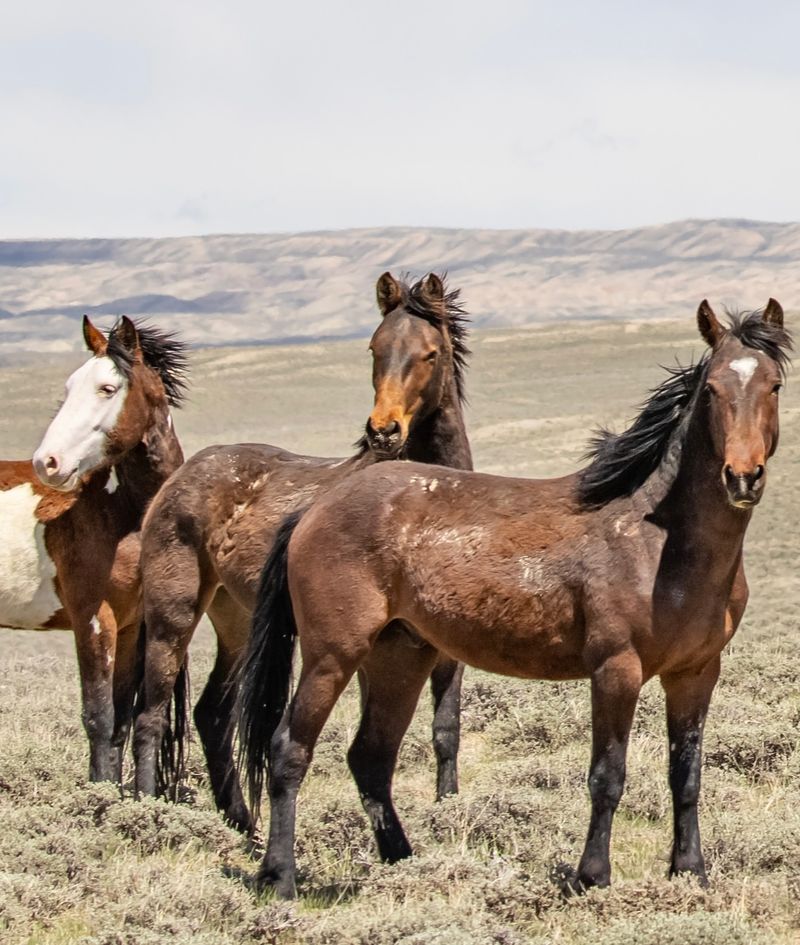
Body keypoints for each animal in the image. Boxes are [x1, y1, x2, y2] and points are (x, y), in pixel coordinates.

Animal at [0, 318, 188, 780]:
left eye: (107, 388)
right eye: (69, 387)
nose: (47, 462)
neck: (122, 512)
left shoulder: (131, 625)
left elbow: (123, 722)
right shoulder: (93, 619)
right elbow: (98, 718)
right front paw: (98, 791)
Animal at [134, 270, 476, 828]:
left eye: (430, 353)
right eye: (375, 348)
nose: (383, 431)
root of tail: (182, 475)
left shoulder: (444, 647)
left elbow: (444, 730)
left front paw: (446, 810)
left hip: (235, 621)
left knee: (211, 714)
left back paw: (242, 822)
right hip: (173, 614)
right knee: (153, 713)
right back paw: (146, 811)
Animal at [238, 298, 788, 896]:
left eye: (775, 385)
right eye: (711, 388)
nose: (742, 477)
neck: (657, 541)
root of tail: (315, 507)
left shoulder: (696, 673)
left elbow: (685, 775)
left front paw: (691, 872)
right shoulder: (615, 670)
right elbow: (608, 777)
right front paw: (592, 877)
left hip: (399, 656)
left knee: (371, 758)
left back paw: (403, 861)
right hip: (331, 655)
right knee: (289, 749)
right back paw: (280, 878)